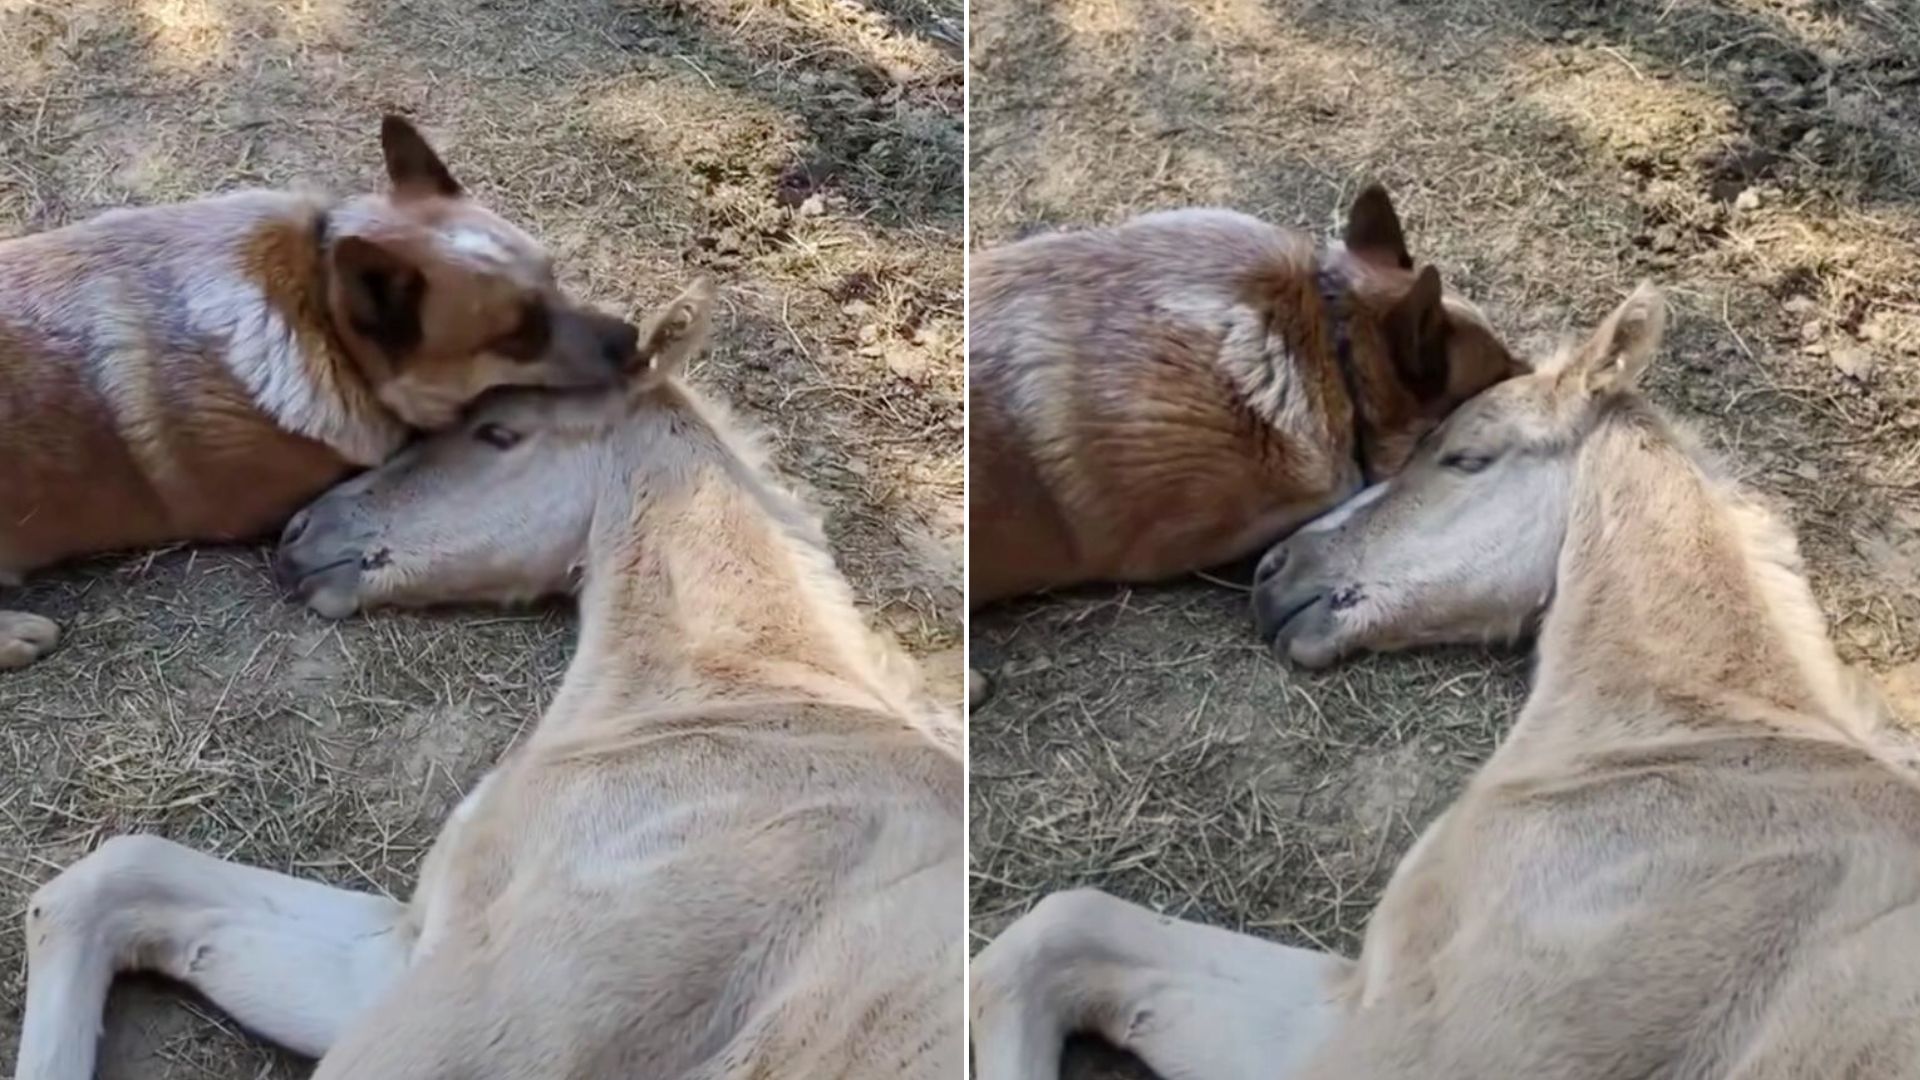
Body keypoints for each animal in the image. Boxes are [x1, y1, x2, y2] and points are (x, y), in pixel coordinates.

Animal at [22, 278, 967, 1076]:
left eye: (498, 433)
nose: (299, 535)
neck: (746, 709)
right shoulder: (405, 957)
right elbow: (110, 880)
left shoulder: (478, 1023)